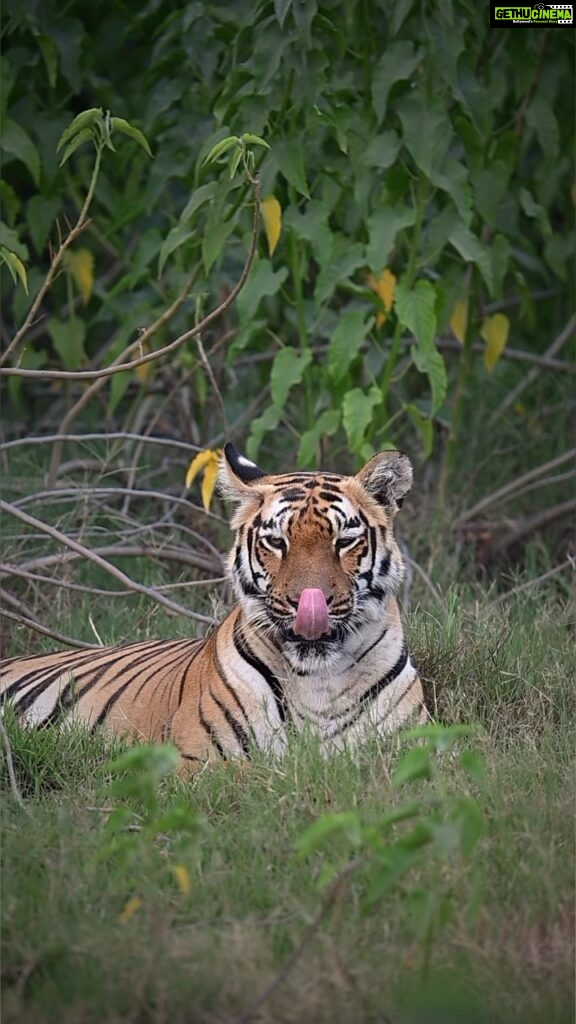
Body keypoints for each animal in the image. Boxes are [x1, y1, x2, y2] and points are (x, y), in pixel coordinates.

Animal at [0, 444, 424, 770]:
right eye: (276, 542)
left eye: (344, 541)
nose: (308, 605)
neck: (318, 676)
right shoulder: (198, 762)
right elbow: (258, 776)